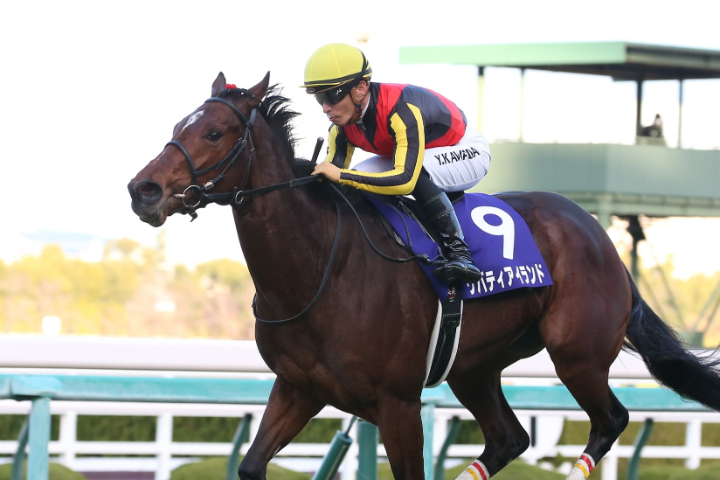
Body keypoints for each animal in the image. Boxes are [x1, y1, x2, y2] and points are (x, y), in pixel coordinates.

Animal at [128, 73, 720, 480]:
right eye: (177, 127)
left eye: (213, 132)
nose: (143, 190)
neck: (319, 268)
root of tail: (601, 239)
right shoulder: (299, 388)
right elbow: (251, 464)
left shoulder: (398, 404)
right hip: (474, 367)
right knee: (508, 439)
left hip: (577, 353)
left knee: (610, 421)